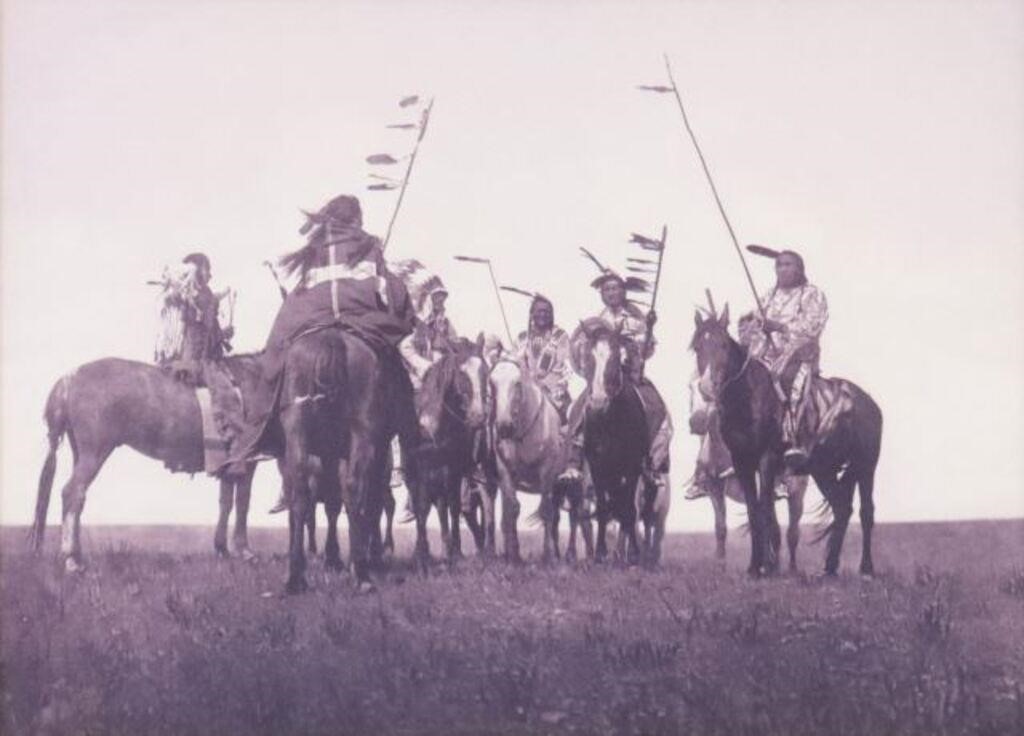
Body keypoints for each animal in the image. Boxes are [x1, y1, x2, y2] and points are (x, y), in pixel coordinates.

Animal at [31, 354, 270, 569]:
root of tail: (69, 378)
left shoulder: (229, 466)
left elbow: (226, 503)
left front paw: (223, 550)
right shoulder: (247, 463)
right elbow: (242, 503)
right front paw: (245, 552)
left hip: (80, 453)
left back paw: (76, 555)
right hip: (94, 454)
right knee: (73, 493)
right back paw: (72, 560)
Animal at [692, 305, 884, 577]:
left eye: (723, 345)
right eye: (697, 346)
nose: (708, 387)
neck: (750, 398)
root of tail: (867, 402)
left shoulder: (767, 459)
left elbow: (764, 508)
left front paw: (765, 566)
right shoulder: (742, 462)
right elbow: (753, 510)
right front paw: (755, 567)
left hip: (866, 465)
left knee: (866, 512)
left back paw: (866, 568)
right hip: (823, 470)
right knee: (842, 508)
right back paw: (829, 568)